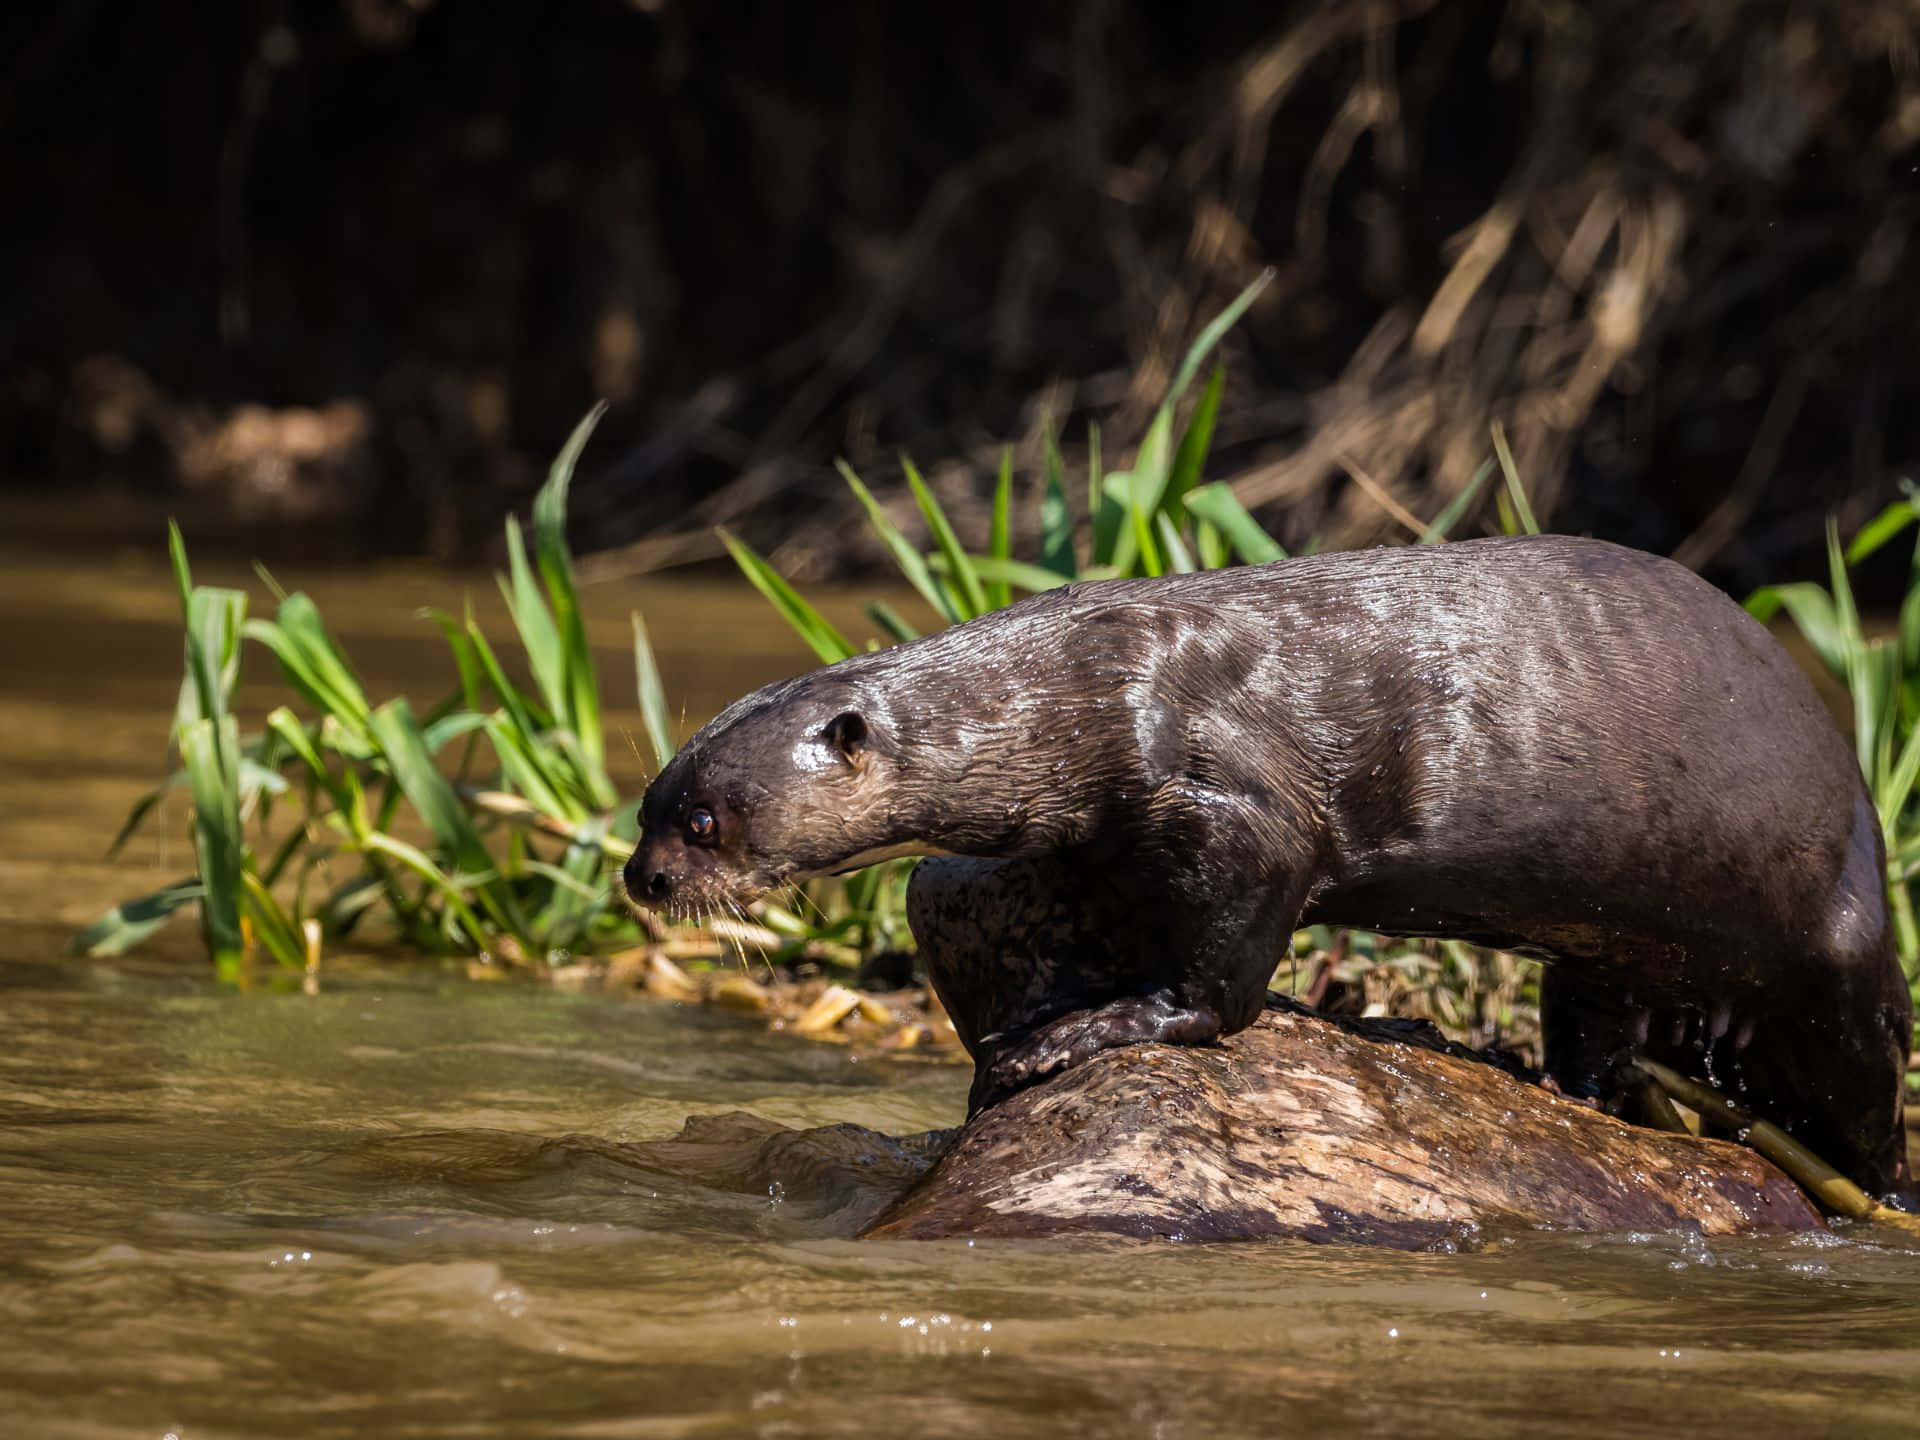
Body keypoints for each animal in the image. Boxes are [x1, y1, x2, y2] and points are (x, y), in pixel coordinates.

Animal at [622, 537, 1912, 1198]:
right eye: (649, 805)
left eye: (703, 822)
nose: (642, 878)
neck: (1076, 699)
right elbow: (948, 893)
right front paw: (1006, 1051)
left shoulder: (1232, 797)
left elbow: (1225, 971)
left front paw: (1089, 1033)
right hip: (1610, 944)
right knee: (1603, 1020)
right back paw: (1585, 1092)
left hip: (1838, 943)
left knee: (1868, 1087)